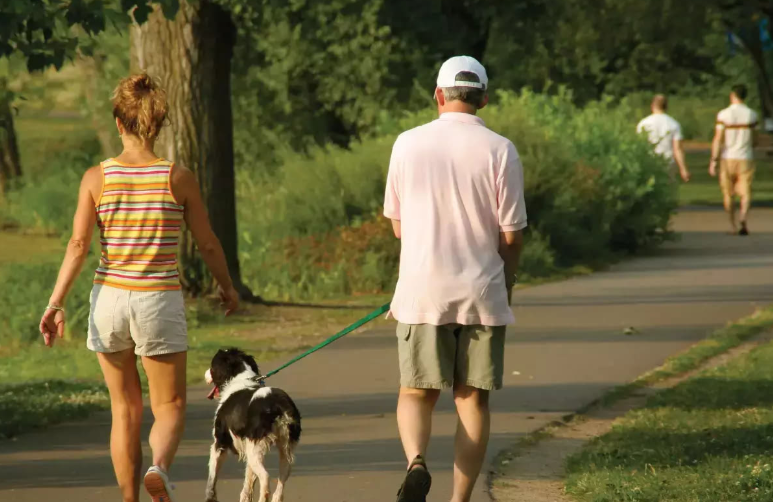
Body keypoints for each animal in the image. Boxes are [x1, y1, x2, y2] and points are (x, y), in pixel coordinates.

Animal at [205, 350, 302, 502]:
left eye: (212, 366)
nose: (205, 374)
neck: (240, 379)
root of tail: (278, 404)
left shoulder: (219, 444)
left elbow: (211, 478)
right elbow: (247, 484)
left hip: (255, 450)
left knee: (266, 477)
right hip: (284, 449)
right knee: (281, 480)